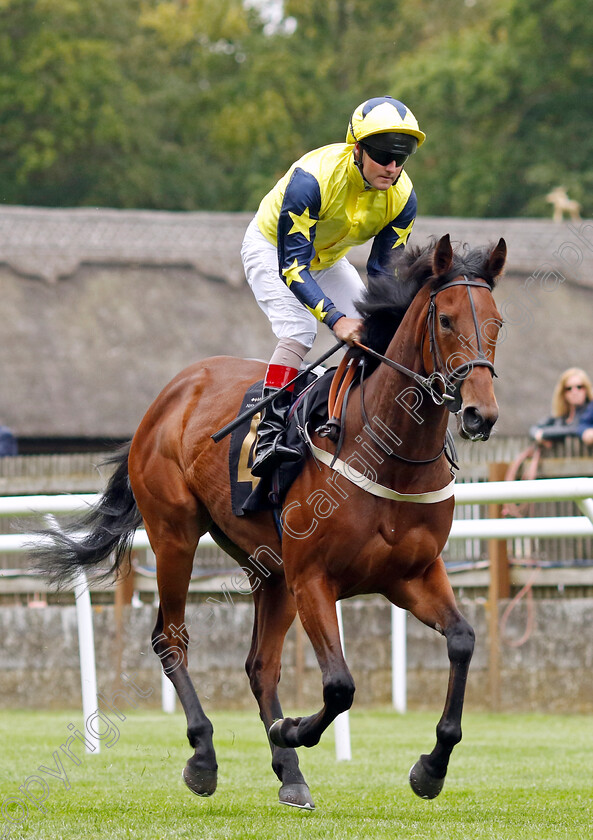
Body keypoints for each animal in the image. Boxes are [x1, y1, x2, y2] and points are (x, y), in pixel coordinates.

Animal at [32, 235, 504, 808]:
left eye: (498, 322)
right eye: (447, 321)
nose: (481, 414)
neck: (389, 451)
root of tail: (169, 393)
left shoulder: (412, 575)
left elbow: (462, 641)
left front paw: (431, 767)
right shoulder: (314, 578)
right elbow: (340, 684)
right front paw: (292, 729)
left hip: (269, 570)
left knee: (260, 665)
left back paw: (290, 773)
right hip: (175, 535)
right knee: (171, 638)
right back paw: (204, 755)